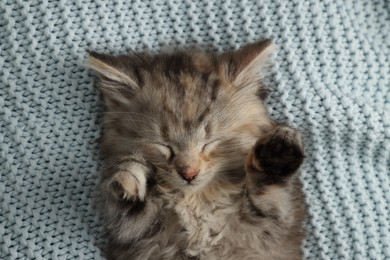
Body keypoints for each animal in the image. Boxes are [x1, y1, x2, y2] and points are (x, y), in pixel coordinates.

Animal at [90, 40, 306, 260]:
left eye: (209, 143)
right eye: (164, 146)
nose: (189, 174)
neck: (198, 200)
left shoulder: (272, 227)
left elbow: (270, 195)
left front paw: (277, 156)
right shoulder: (134, 237)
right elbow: (129, 216)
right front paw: (131, 177)